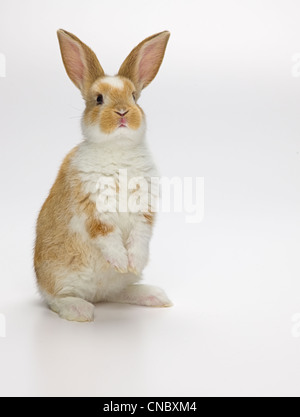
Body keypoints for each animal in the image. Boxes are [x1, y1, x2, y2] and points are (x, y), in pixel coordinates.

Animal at [34, 29, 172, 322]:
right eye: (98, 99)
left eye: (134, 97)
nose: (122, 112)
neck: (117, 149)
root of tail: (96, 294)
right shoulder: (92, 206)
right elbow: (106, 234)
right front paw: (120, 260)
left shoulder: (144, 208)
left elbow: (140, 235)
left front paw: (133, 262)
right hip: (58, 279)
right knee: (55, 300)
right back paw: (81, 310)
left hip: (115, 287)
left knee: (117, 292)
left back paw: (154, 294)